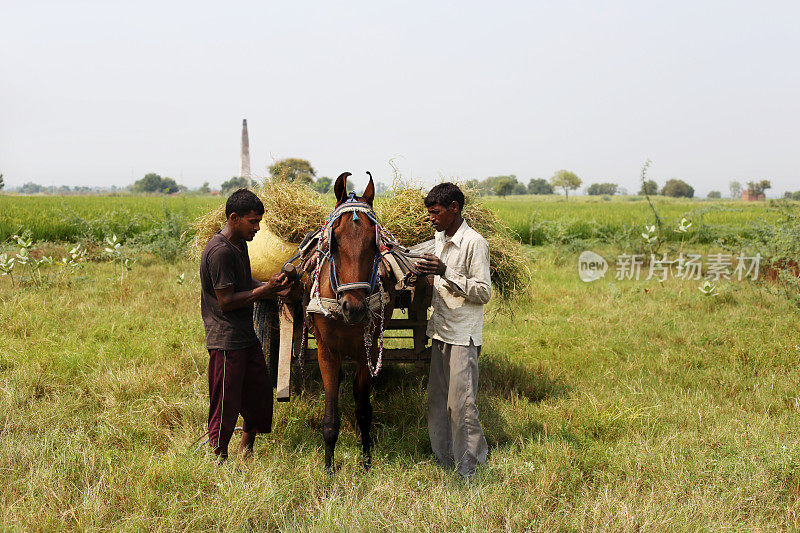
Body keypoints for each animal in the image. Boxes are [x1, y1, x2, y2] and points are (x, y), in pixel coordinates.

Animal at [304, 170, 396, 470]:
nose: (353, 307)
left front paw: (366, 459)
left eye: (374, 244)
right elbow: (331, 414)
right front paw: (329, 466)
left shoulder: (367, 350)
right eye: (333, 242)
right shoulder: (326, 352)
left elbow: (363, 409)